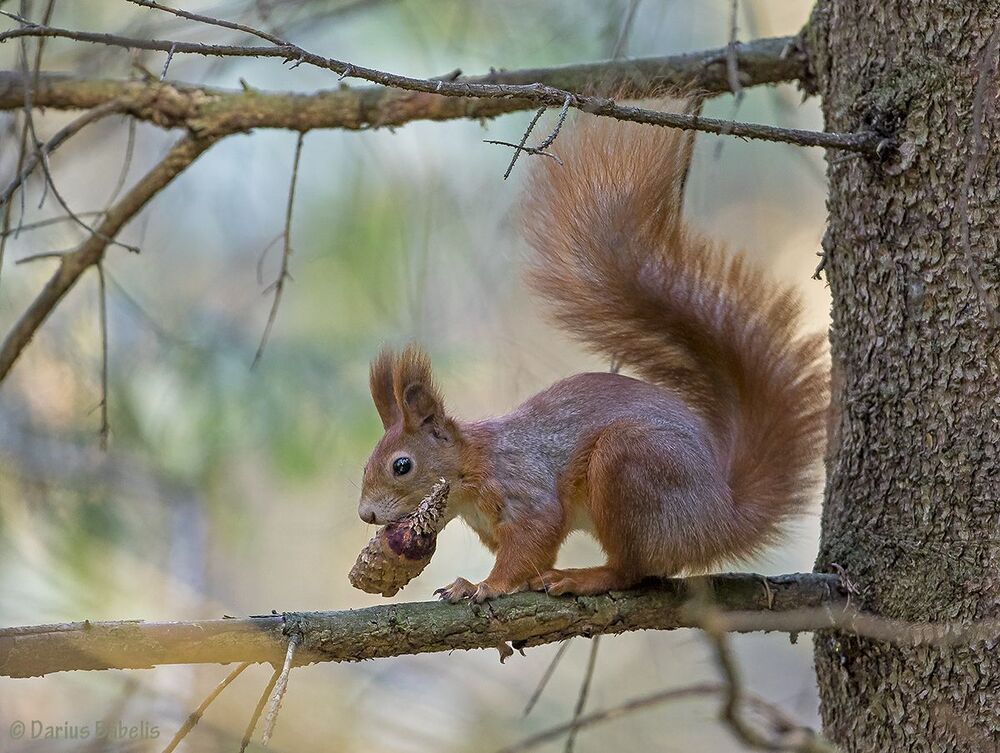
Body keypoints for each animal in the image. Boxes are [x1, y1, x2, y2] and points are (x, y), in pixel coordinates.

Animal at [358, 105, 828, 603]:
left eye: (402, 465)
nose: (366, 514)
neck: (472, 465)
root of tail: (719, 522)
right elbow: (534, 554)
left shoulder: (524, 488)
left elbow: (533, 537)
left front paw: (484, 585)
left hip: (630, 468)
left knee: (632, 570)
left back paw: (584, 577)